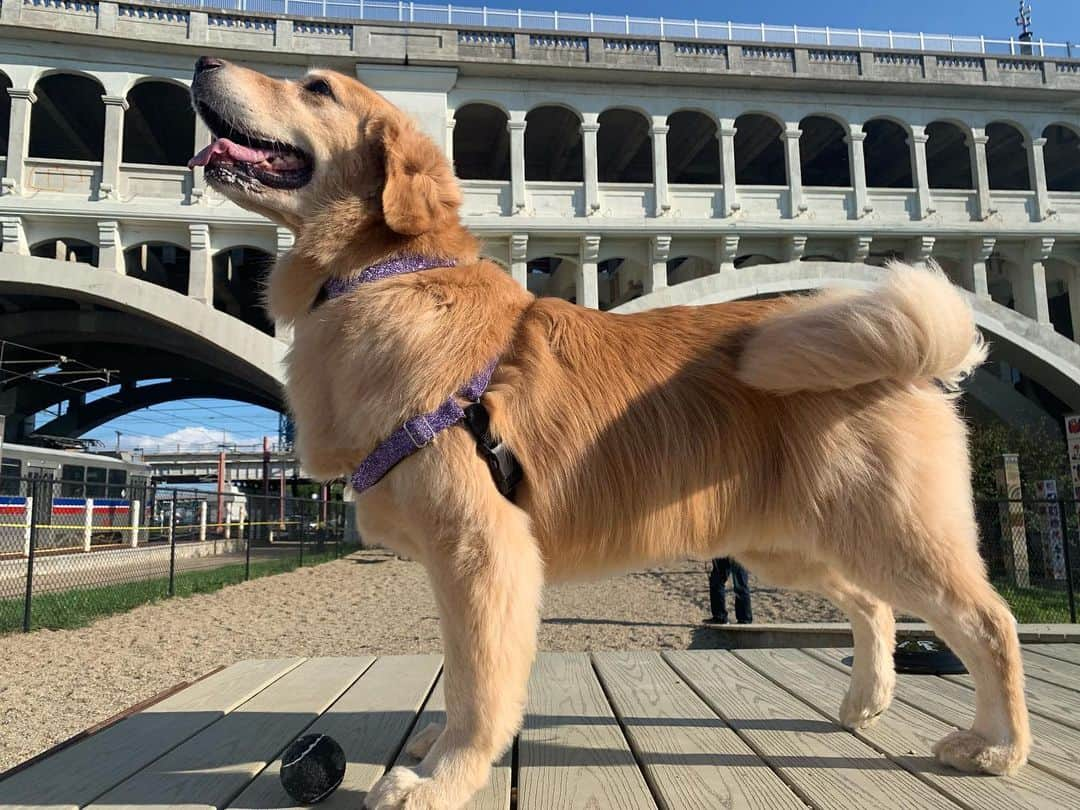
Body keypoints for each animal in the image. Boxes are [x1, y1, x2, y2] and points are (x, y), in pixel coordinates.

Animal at [192, 58, 1028, 810]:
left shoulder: (481, 550)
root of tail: (910, 350)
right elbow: (461, 676)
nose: (201, 63)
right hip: (791, 541)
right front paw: (440, 752)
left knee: (990, 623)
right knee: (873, 606)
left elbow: (479, 686)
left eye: (317, 87)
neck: (385, 277)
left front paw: (443, 779)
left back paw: (998, 746)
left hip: (890, 532)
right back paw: (865, 702)